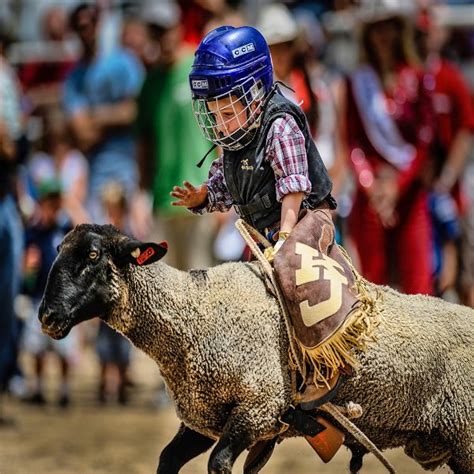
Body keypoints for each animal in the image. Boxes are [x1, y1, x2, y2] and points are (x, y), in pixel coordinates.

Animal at [39, 224, 472, 472]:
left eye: (92, 254)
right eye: (57, 249)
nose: (46, 315)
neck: (194, 314)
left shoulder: (257, 409)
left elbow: (219, 465)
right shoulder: (204, 421)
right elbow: (166, 460)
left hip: (466, 434)